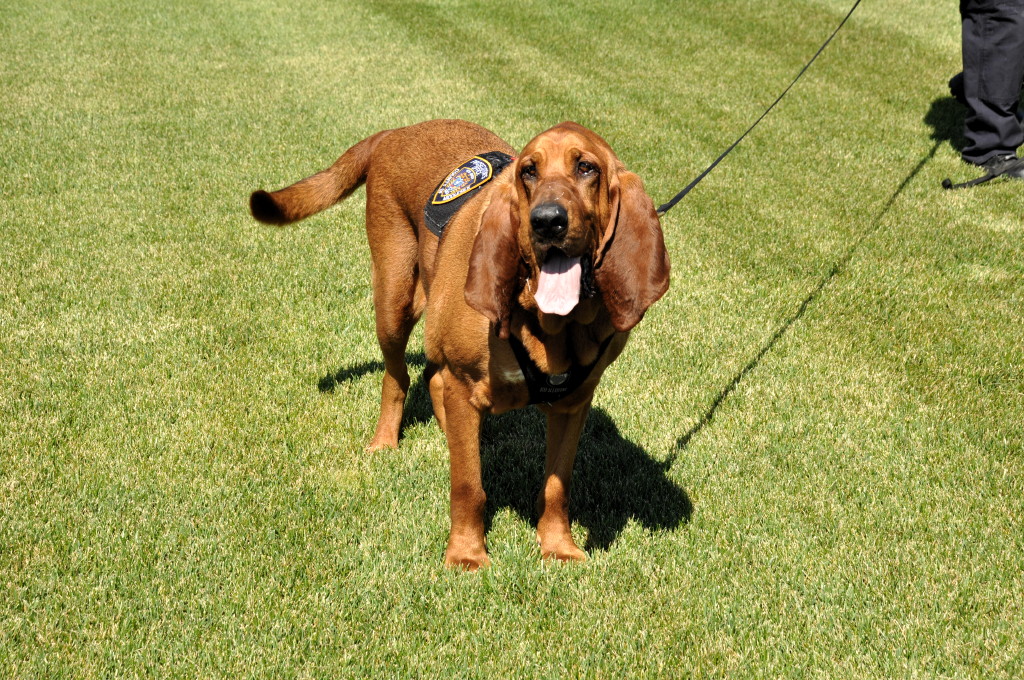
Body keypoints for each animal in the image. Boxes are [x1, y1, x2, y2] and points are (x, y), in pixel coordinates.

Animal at [249, 118, 671, 569]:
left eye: (587, 168)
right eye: (529, 171)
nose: (546, 221)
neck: (551, 327)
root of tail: (398, 131)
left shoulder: (573, 404)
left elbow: (557, 487)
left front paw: (558, 547)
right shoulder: (464, 382)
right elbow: (469, 485)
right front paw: (467, 555)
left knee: (432, 378)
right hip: (394, 300)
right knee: (397, 377)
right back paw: (385, 442)